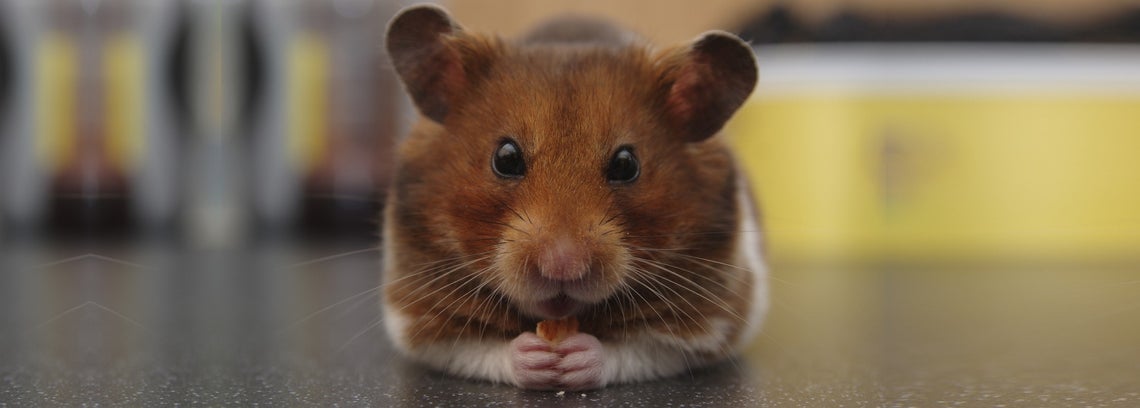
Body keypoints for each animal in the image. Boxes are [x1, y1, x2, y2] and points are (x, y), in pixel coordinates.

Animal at [381, 4, 768, 391]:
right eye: (505, 158)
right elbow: (478, 349)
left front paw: (575, 357)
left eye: (626, 164)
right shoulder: (417, 318)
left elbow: (636, 350)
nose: (562, 266)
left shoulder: (712, 322)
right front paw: (535, 357)